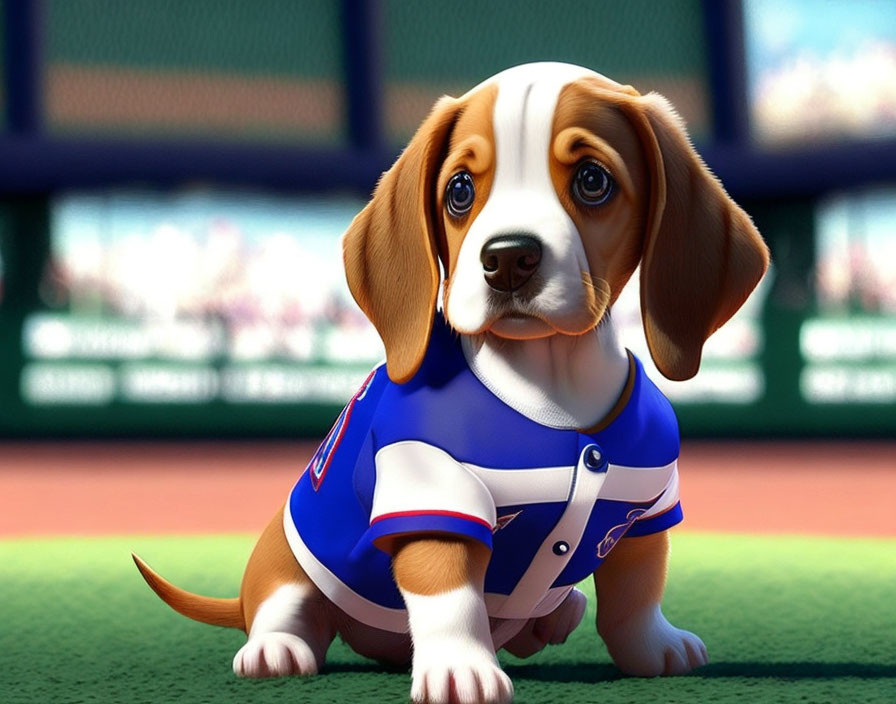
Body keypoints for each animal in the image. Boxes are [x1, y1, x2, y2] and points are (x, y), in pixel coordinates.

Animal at [135, 63, 768, 704]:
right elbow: (452, 600)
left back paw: (551, 617)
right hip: (285, 564)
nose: (508, 258)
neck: (551, 384)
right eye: (459, 190)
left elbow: (636, 592)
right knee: (286, 607)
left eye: (594, 181)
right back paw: (276, 648)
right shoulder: (434, 493)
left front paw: (654, 647)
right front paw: (461, 669)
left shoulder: (646, 503)